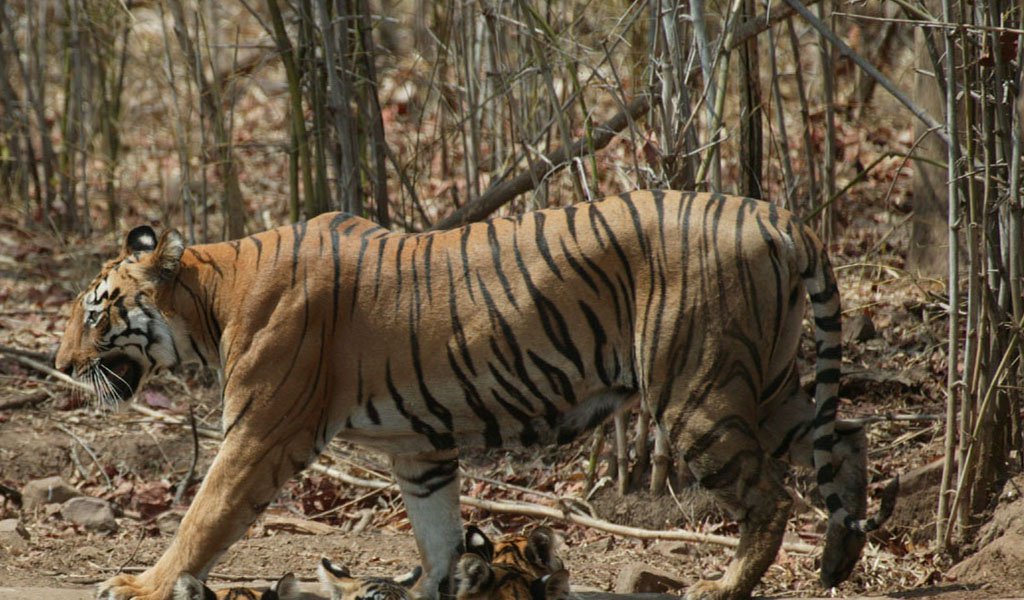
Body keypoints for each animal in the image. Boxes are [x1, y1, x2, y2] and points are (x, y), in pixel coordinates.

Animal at [58, 191, 897, 597]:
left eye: (95, 310)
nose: (62, 364)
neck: (213, 296)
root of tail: (777, 216)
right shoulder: (419, 451)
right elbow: (436, 537)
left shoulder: (260, 433)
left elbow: (203, 517)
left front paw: (140, 585)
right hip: (763, 384)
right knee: (846, 435)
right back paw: (839, 558)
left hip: (696, 391)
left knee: (771, 498)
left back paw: (723, 588)